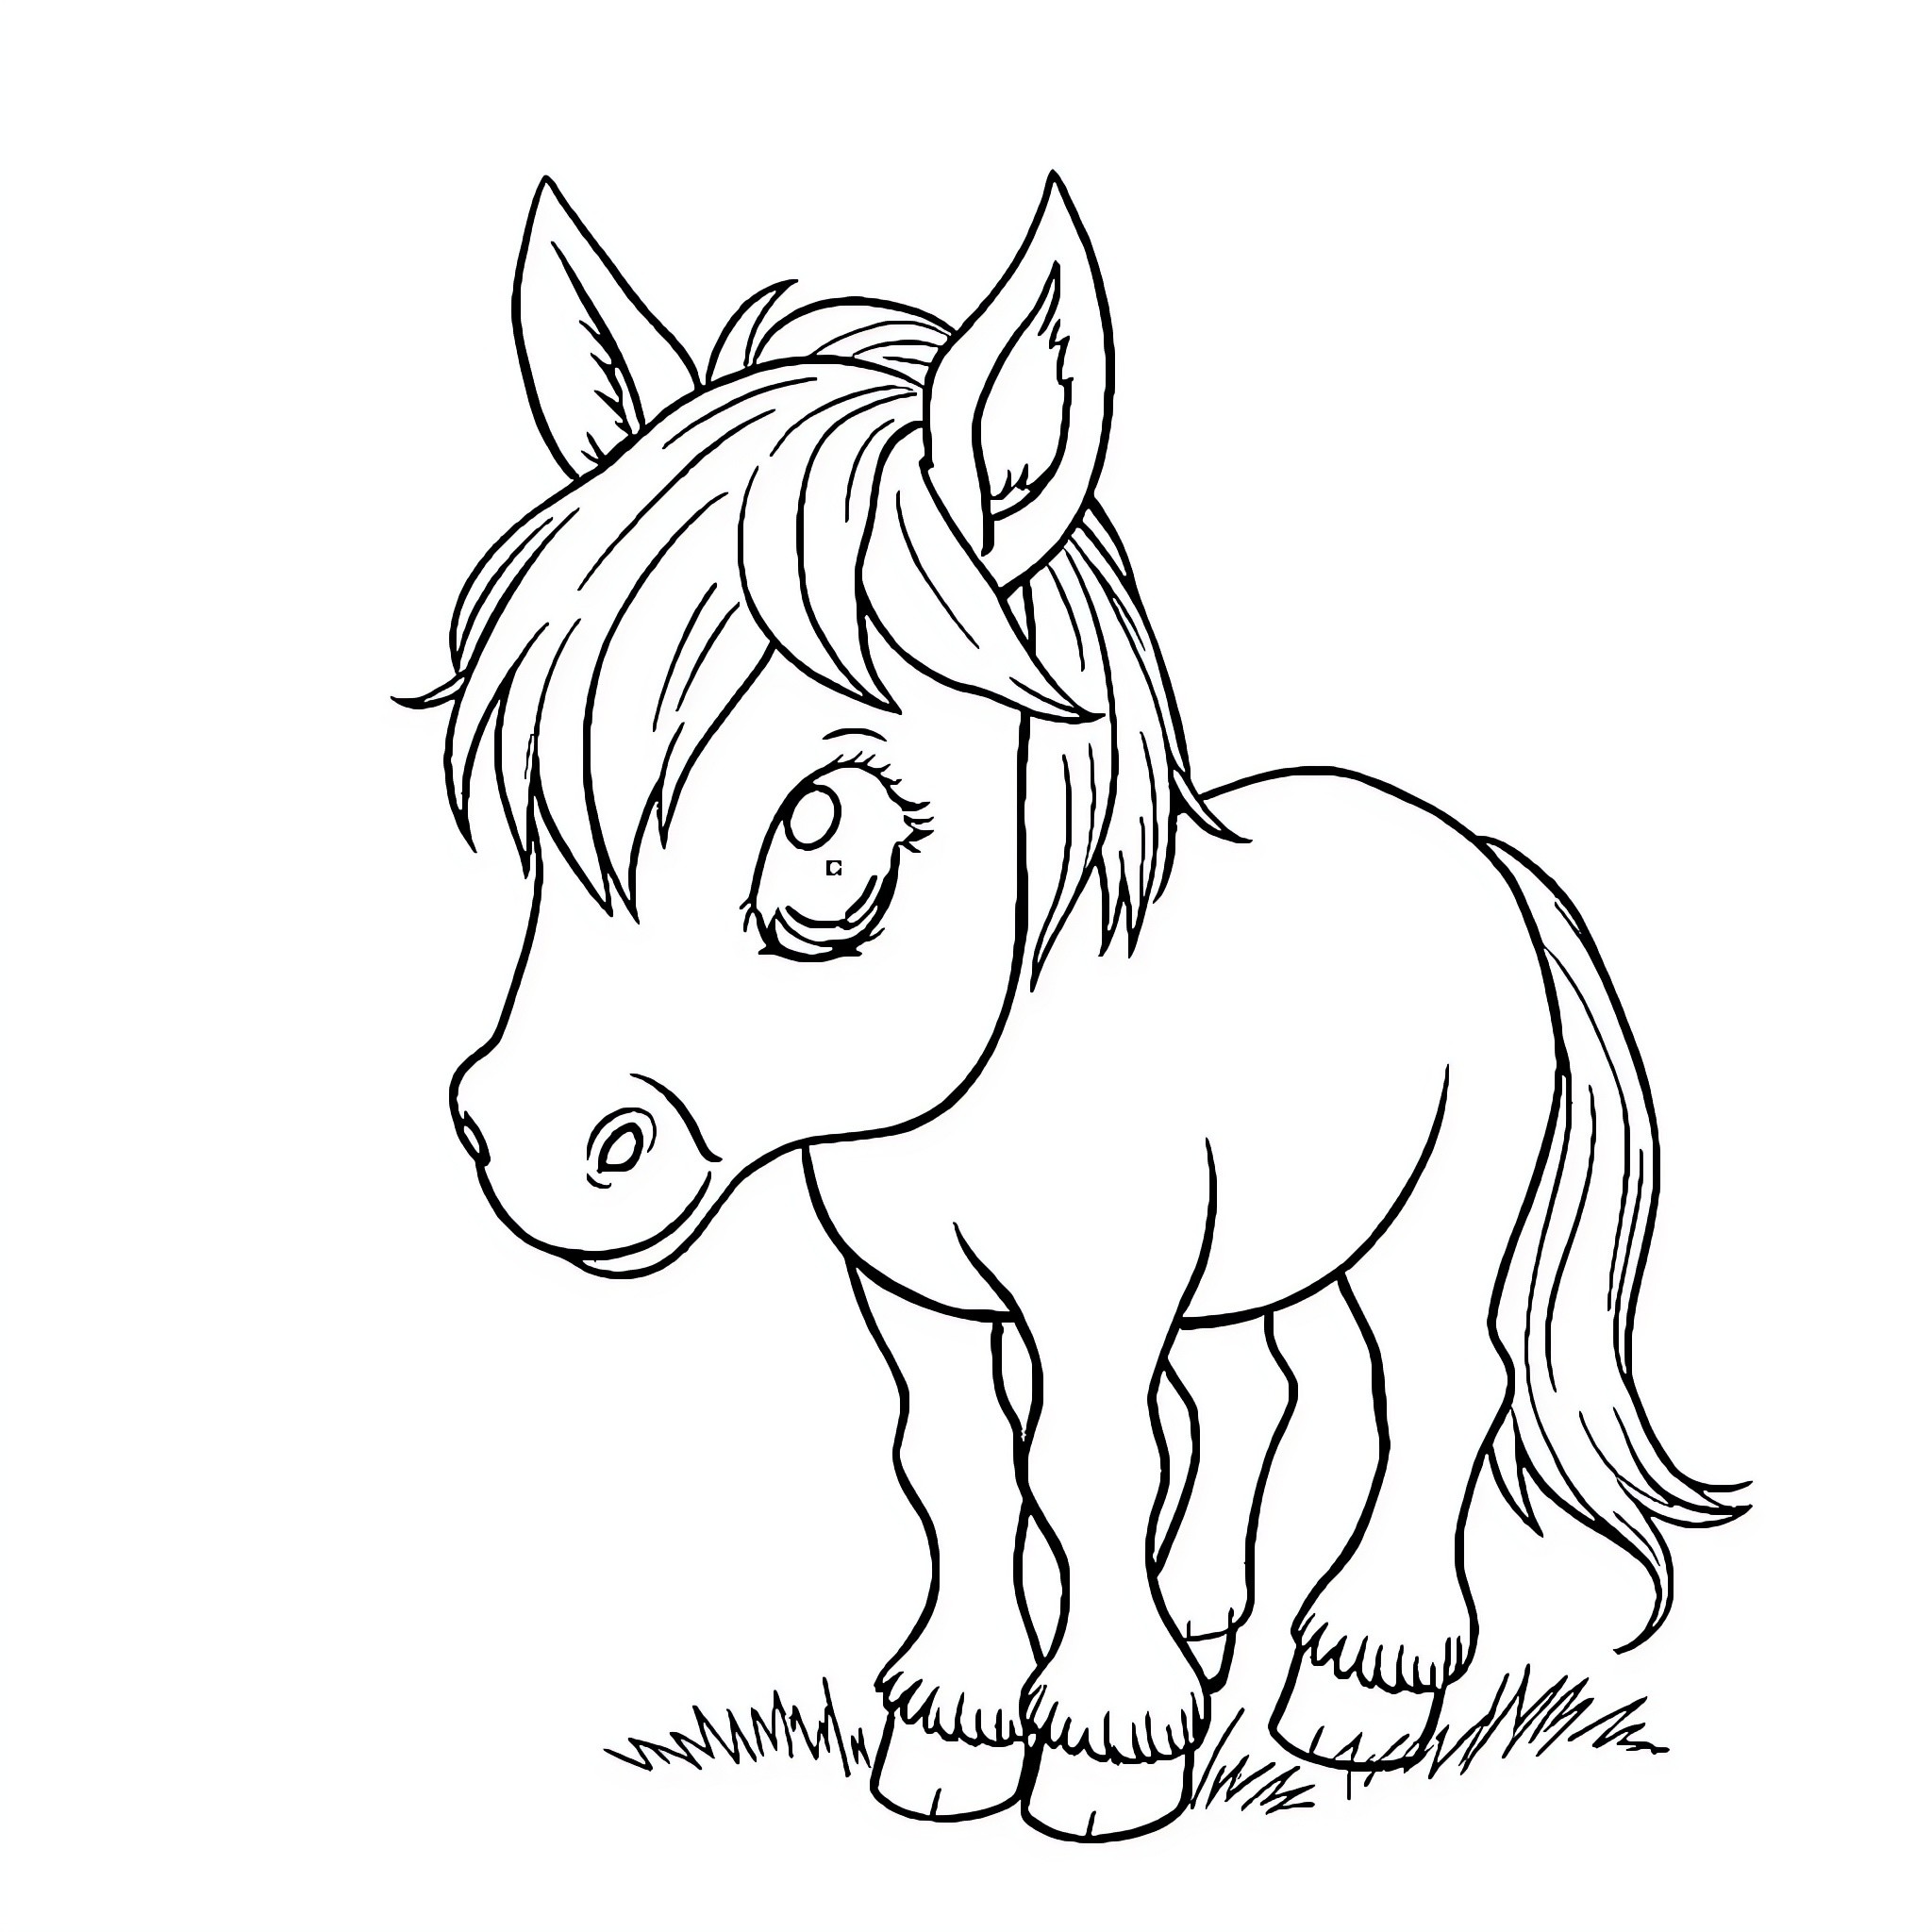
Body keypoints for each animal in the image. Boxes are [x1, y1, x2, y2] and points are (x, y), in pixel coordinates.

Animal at [409, 175, 1743, 1841]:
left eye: (825, 828)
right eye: (531, 797)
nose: (537, 1142)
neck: (972, 1098)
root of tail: (1471, 848)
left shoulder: (1099, 1291)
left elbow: (1086, 1462)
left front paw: (1110, 1747)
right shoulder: (916, 1292)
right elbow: (959, 1461)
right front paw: (958, 1728)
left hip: (1437, 1220)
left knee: (1440, 1383)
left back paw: (1357, 1688)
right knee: (1259, 1392)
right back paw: (1216, 1623)